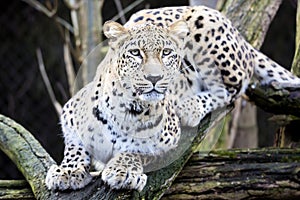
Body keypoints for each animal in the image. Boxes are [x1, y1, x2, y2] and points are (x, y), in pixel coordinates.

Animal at [45, 5, 300, 191]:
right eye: (135, 53)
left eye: (166, 53)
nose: (155, 78)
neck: (127, 109)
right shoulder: (69, 113)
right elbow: (75, 146)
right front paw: (67, 171)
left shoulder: (168, 136)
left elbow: (138, 149)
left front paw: (124, 171)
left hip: (208, 27)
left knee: (235, 85)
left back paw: (189, 107)